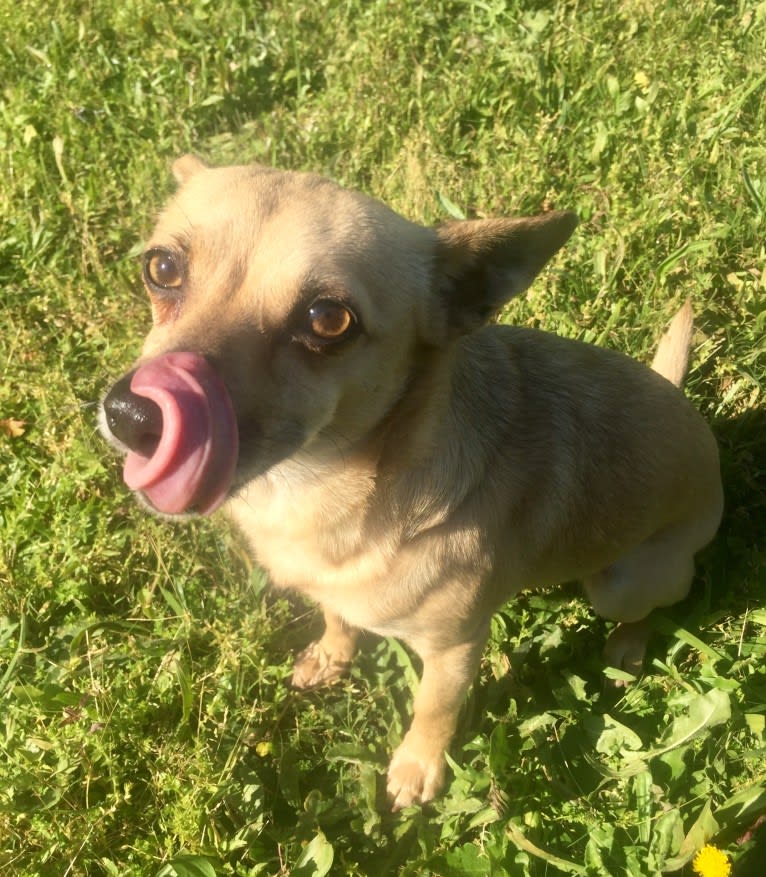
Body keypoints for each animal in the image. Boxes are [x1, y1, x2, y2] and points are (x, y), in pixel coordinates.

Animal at [100, 156, 728, 808]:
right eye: (161, 268)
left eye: (328, 320)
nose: (134, 416)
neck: (321, 492)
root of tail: (683, 404)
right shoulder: (335, 591)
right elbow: (337, 617)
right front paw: (333, 655)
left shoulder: (455, 650)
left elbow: (434, 711)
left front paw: (417, 768)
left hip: (621, 583)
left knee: (653, 604)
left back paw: (629, 644)